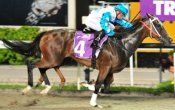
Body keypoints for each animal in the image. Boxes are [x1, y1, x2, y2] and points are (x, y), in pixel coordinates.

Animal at [2, 13, 172, 107]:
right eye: (158, 25)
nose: (169, 39)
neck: (122, 42)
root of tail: (46, 33)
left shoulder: (110, 70)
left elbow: (106, 85)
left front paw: (86, 84)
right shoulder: (104, 67)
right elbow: (99, 84)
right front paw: (93, 101)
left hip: (56, 59)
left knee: (43, 67)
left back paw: (47, 87)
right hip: (51, 59)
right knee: (31, 63)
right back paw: (29, 87)